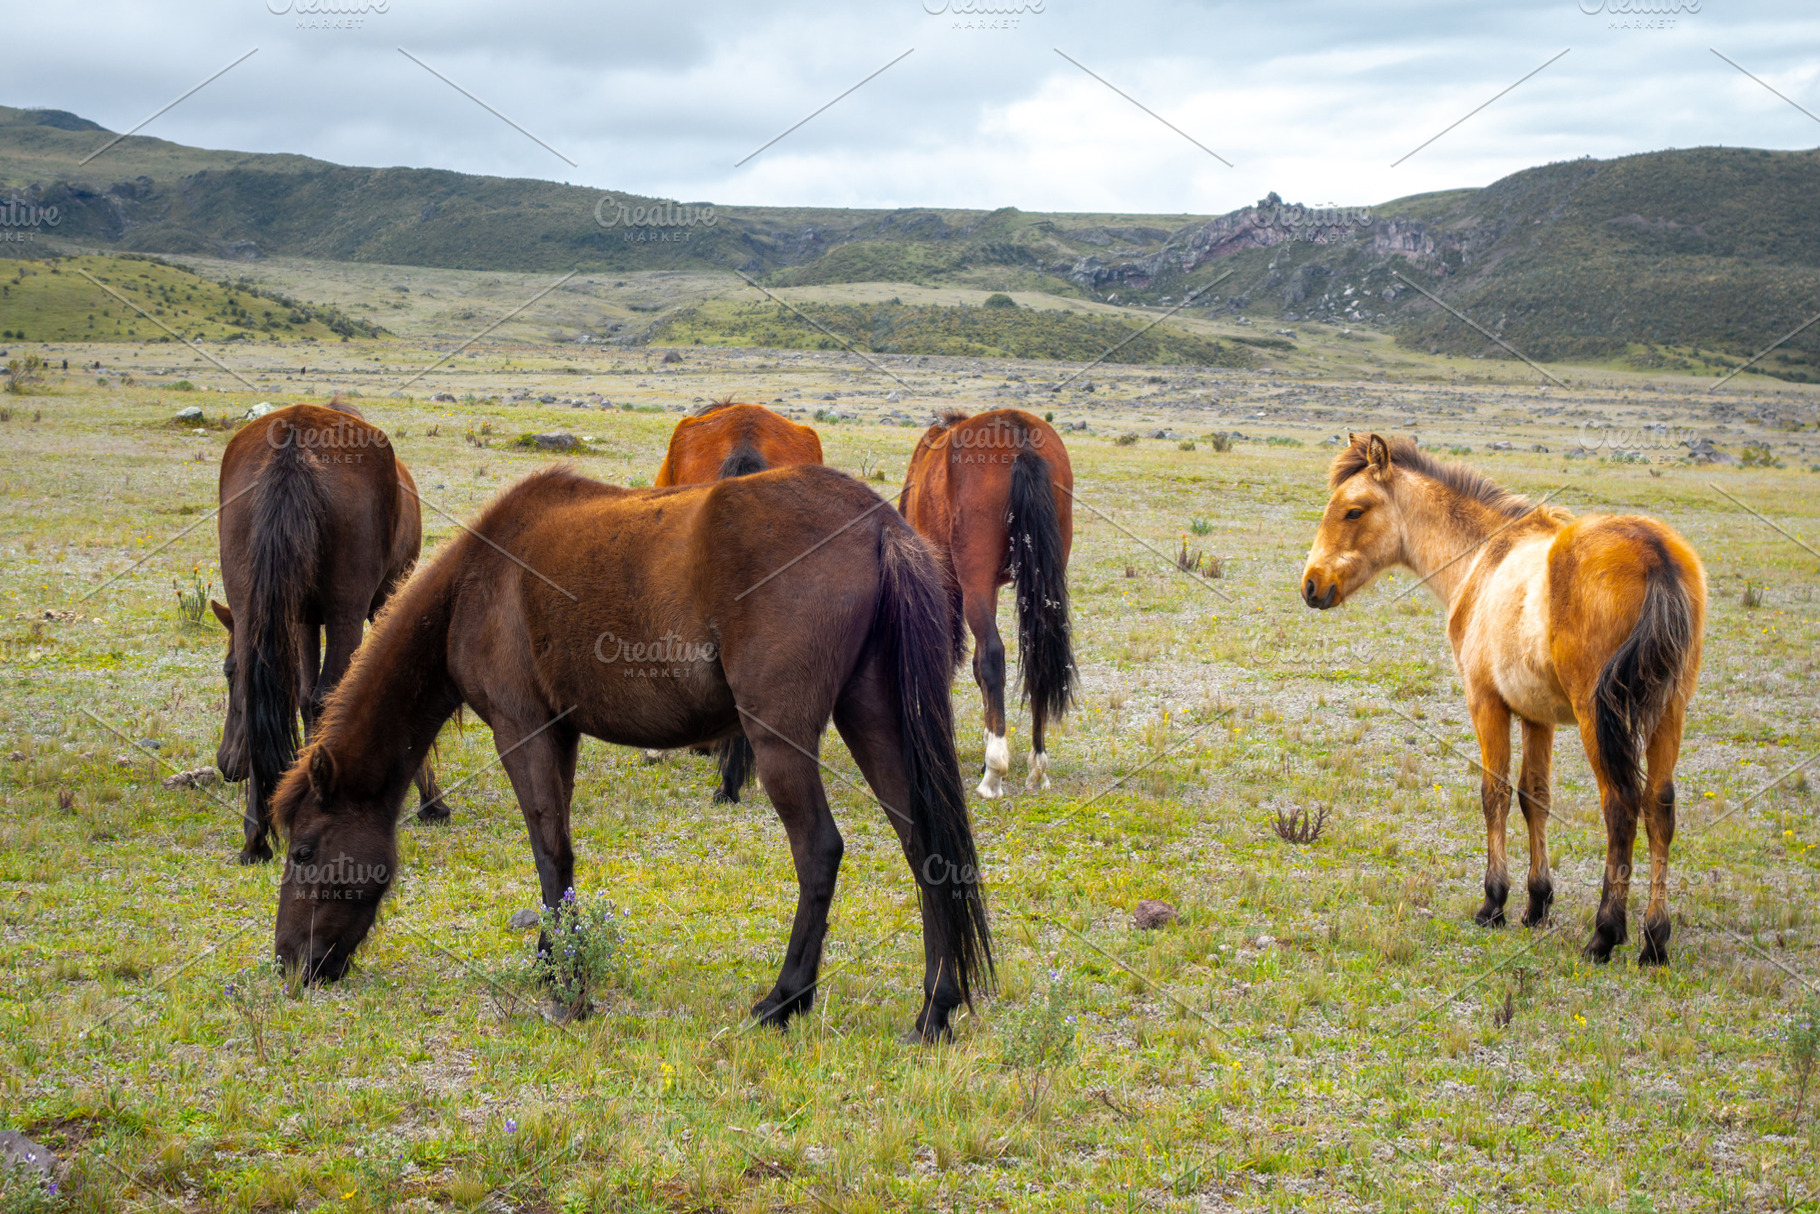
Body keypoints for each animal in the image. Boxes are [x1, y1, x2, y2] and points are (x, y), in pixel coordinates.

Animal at [213, 401, 448, 865]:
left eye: (226, 673)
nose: (226, 764)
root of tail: (294, 442)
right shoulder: (381, 602)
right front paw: (431, 799)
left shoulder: (303, 618)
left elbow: (304, 699)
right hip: (346, 611)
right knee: (331, 693)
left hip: (255, 607)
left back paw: (256, 837)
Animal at [270, 464, 992, 1040]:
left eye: (304, 851)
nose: (289, 963)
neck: (479, 581)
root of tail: (879, 526)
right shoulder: (558, 733)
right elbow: (557, 856)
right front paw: (552, 958)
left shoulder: (521, 729)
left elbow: (549, 851)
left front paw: (567, 984)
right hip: (872, 718)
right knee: (923, 847)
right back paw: (935, 1010)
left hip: (780, 739)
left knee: (819, 851)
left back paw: (784, 999)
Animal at [899, 409, 1076, 798]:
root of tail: (1019, 435)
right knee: (1037, 657)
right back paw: (1037, 765)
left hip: (974, 577)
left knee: (994, 655)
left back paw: (993, 774)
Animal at [1300, 434, 1705, 965]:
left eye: (1353, 510)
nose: (1311, 585)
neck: (1486, 557)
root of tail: (1655, 553)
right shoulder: (1537, 716)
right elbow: (1535, 797)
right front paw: (1536, 904)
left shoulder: (1486, 702)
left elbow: (1494, 794)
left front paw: (1494, 902)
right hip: (1667, 714)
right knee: (1660, 808)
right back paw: (1655, 939)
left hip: (1599, 721)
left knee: (1620, 807)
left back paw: (1605, 933)